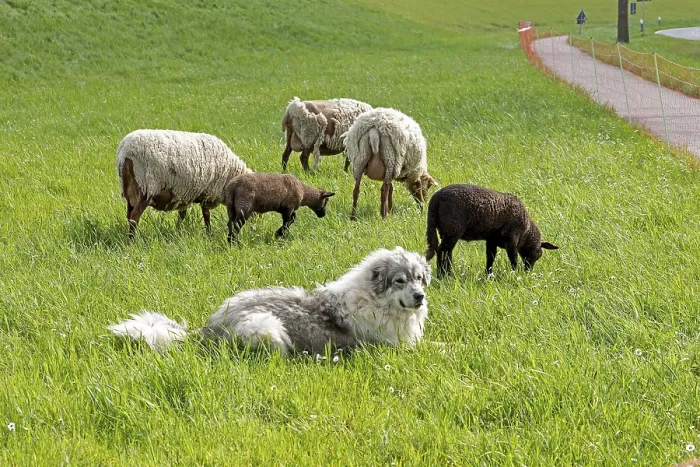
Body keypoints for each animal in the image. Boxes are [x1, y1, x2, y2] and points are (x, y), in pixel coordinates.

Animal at [116, 129, 252, 239]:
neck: (231, 173)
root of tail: (125, 153)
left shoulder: (185, 193)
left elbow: (182, 214)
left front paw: (177, 232)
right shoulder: (207, 192)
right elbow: (206, 215)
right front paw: (209, 234)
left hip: (130, 190)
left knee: (129, 215)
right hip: (146, 187)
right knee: (135, 216)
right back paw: (131, 242)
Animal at [425, 184, 559, 277]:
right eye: (539, 254)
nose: (528, 271)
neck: (526, 232)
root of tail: (435, 200)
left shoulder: (491, 240)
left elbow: (490, 257)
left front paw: (488, 274)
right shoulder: (512, 239)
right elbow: (513, 259)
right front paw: (514, 273)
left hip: (443, 230)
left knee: (445, 251)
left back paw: (446, 273)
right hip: (452, 229)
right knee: (443, 251)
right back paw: (444, 275)